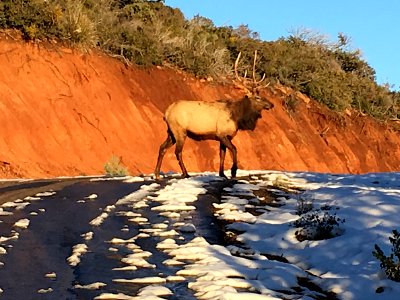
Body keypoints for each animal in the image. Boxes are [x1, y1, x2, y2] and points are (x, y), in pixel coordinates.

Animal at [154, 50, 276, 179]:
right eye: (257, 97)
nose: (271, 104)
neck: (237, 117)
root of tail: (166, 113)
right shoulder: (222, 133)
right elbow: (234, 149)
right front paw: (233, 171)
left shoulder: (224, 136)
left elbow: (222, 154)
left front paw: (222, 174)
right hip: (179, 130)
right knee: (178, 151)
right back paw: (185, 173)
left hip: (171, 131)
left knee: (162, 147)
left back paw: (157, 174)